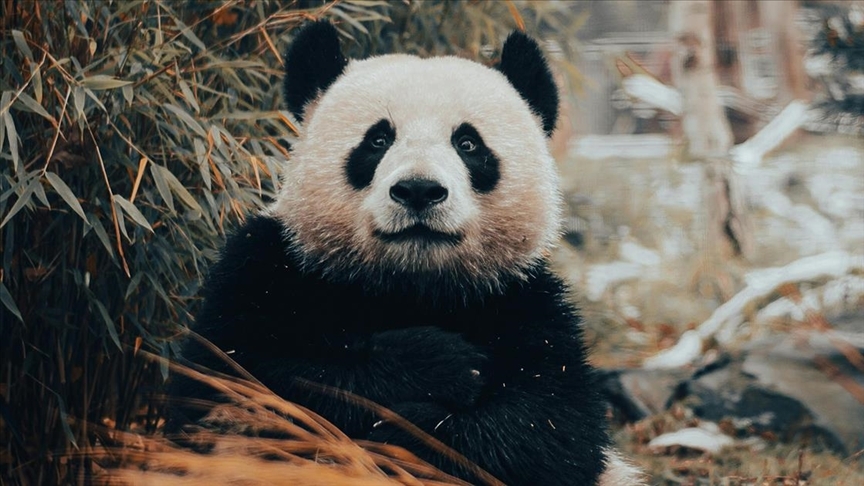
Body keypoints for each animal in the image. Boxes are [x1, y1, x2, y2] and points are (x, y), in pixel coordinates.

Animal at [172, 21, 644, 486]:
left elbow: (550, 432)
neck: (411, 284)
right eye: (378, 139)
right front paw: (439, 363)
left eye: (468, 144)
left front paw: (415, 429)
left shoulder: (526, 302)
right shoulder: (271, 268)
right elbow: (239, 384)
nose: (419, 189)